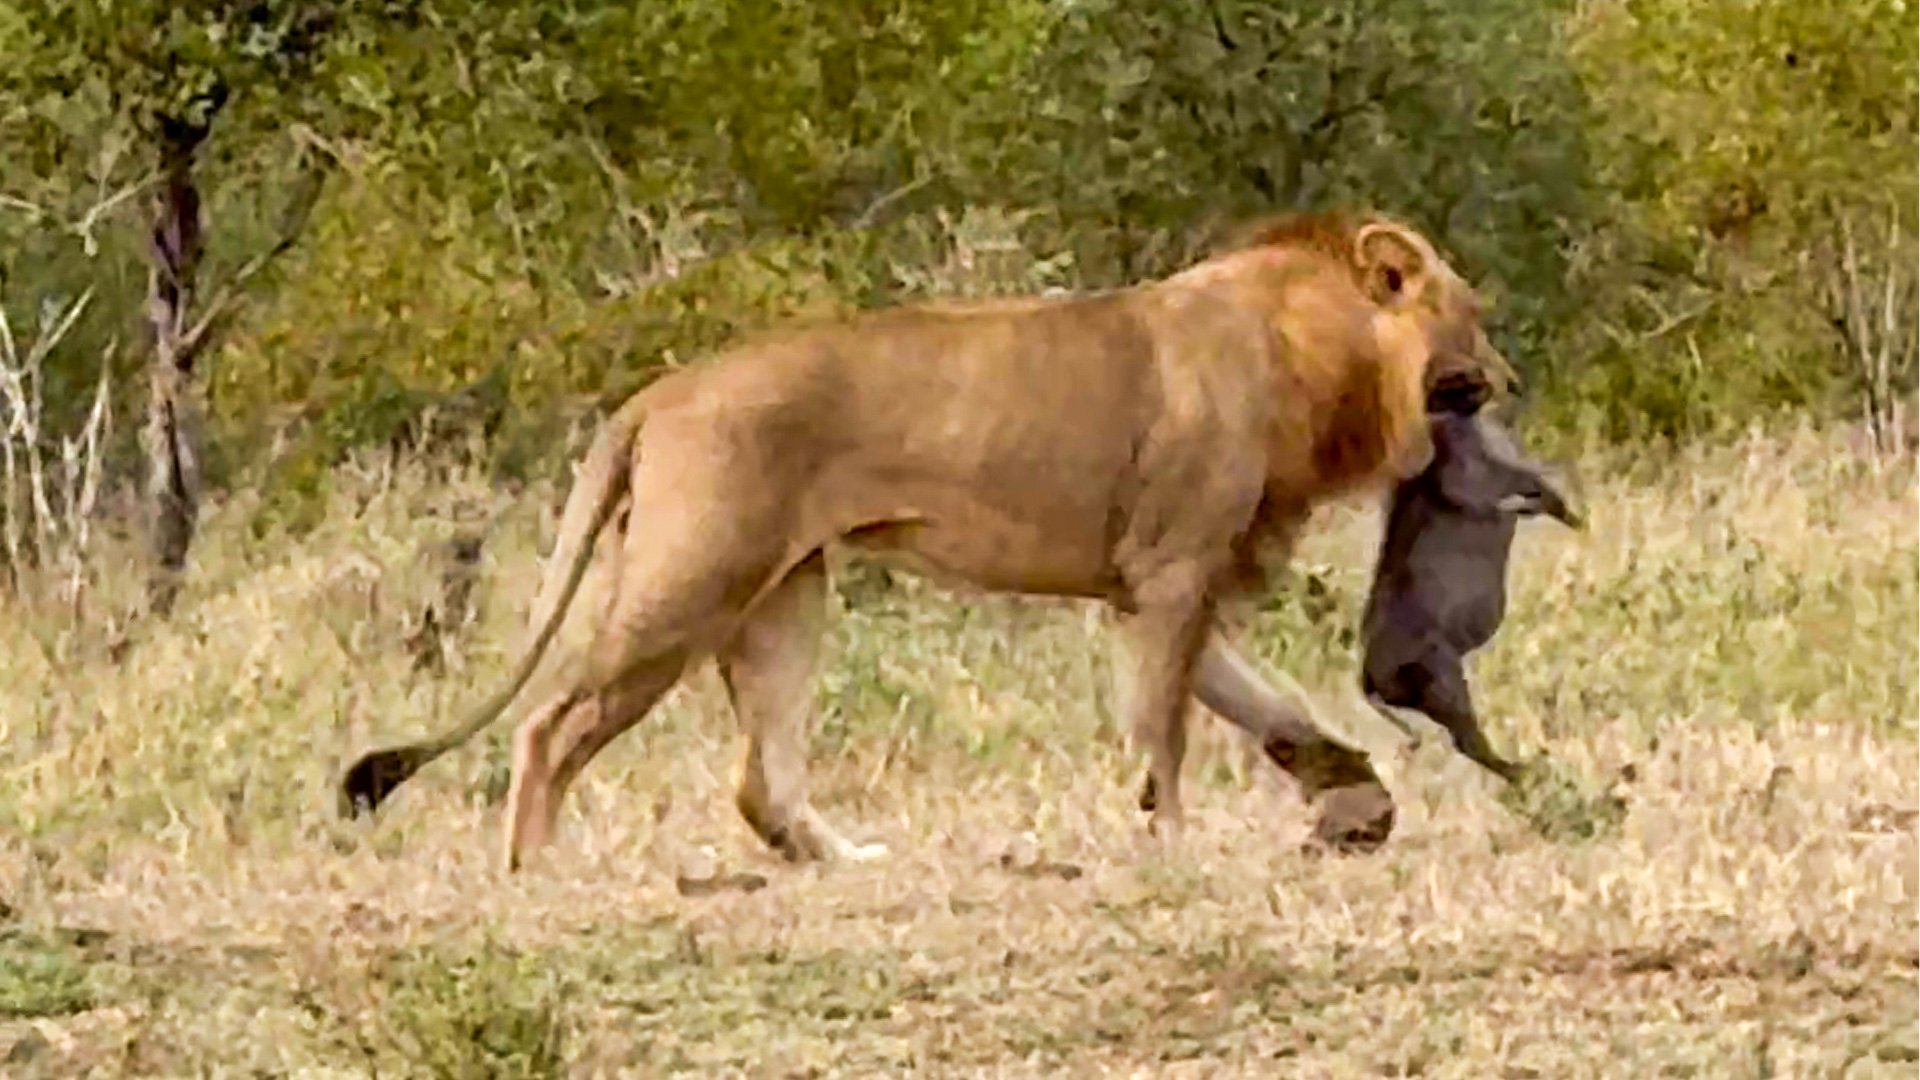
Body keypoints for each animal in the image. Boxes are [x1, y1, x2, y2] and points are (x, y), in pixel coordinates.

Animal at [338, 208, 1517, 871]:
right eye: (1471, 317)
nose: (1508, 381)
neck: (1319, 357)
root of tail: (656, 394)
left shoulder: (1156, 587)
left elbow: (1262, 706)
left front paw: (1352, 799)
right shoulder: (1174, 571)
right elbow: (1166, 731)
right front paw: (1175, 844)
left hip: (783, 595)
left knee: (759, 780)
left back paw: (847, 858)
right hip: (691, 584)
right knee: (550, 725)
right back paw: (538, 868)